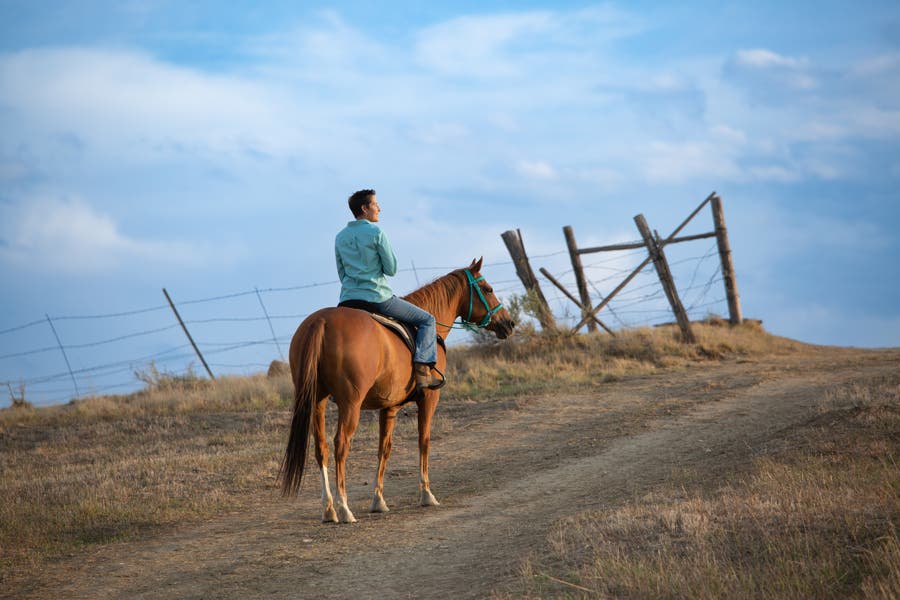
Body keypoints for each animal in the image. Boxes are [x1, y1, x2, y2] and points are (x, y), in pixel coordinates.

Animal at [279, 258, 515, 523]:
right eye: (488, 289)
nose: (509, 323)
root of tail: (323, 320)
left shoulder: (389, 407)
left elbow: (384, 449)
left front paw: (378, 500)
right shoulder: (429, 398)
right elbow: (424, 441)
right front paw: (426, 494)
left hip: (316, 402)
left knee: (322, 448)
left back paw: (329, 509)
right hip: (350, 404)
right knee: (341, 444)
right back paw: (344, 508)